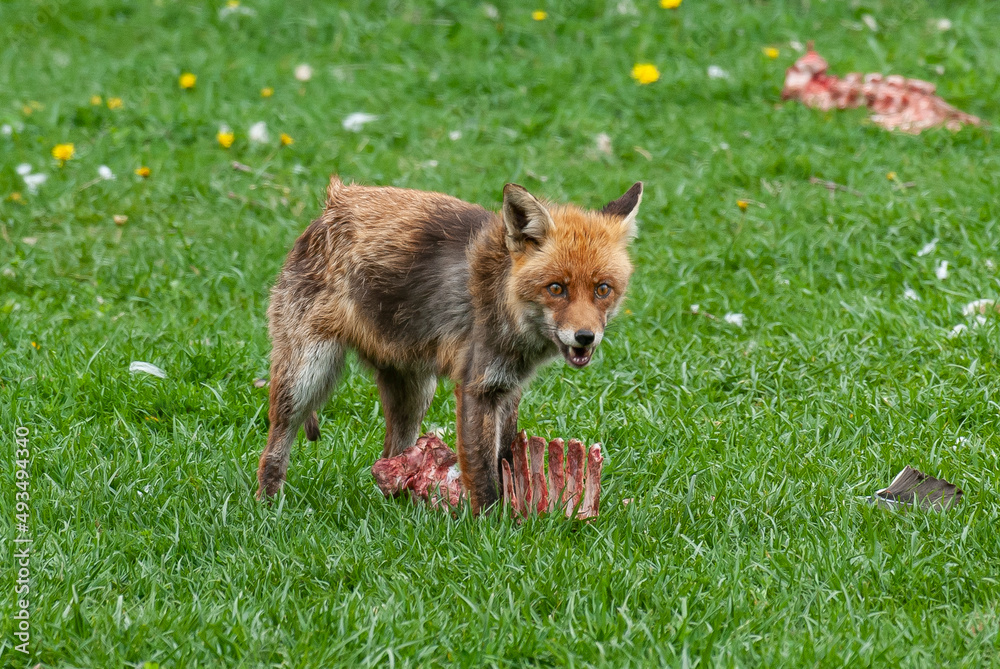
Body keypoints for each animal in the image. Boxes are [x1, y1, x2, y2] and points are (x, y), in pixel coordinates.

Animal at [257, 176, 642, 514]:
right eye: (556, 288)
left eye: (602, 289)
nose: (585, 337)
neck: (504, 301)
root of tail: (333, 203)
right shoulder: (477, 385)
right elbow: (483, 473)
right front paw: (491, 528)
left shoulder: (507, 387)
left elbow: (504, 457)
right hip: (307, 376)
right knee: (273, 451)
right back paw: (268, 508)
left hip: (415, 393)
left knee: (390, 456)